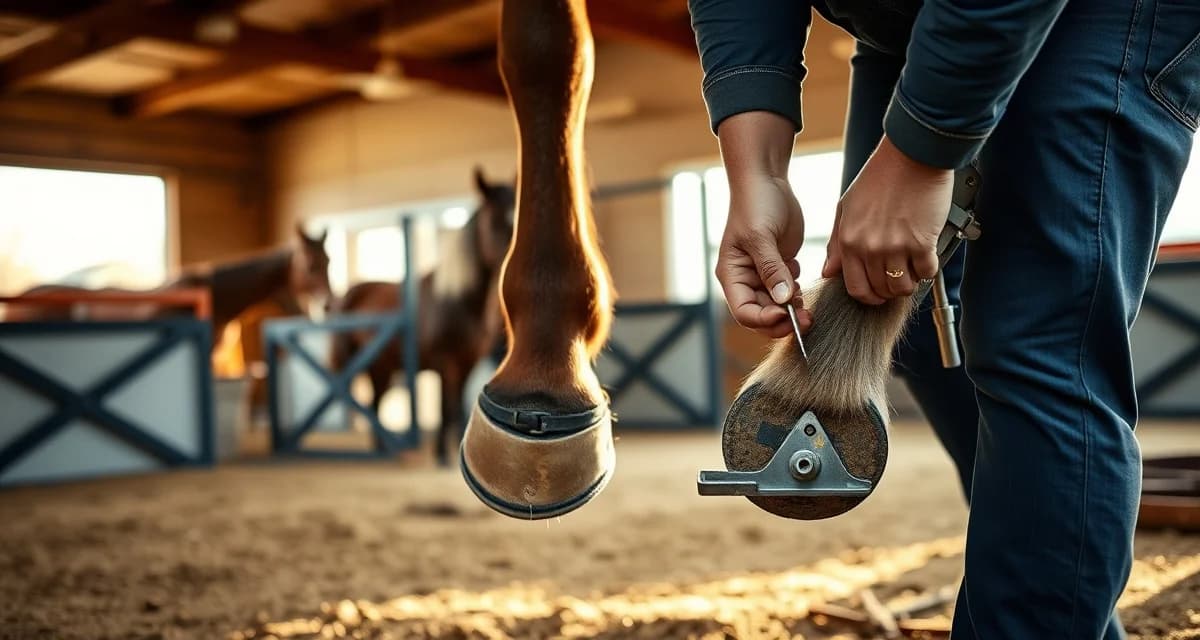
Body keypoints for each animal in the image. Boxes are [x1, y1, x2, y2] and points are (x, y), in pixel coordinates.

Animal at [328, 168, 514, 466]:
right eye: (493, 222)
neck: (458, 301)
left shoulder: (467, 363)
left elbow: (457, 408)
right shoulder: (445, 363)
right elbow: (444, 409)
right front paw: (442, 456)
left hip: (382, 367)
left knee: (375, 403)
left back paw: (384, 449)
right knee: (373, 404)